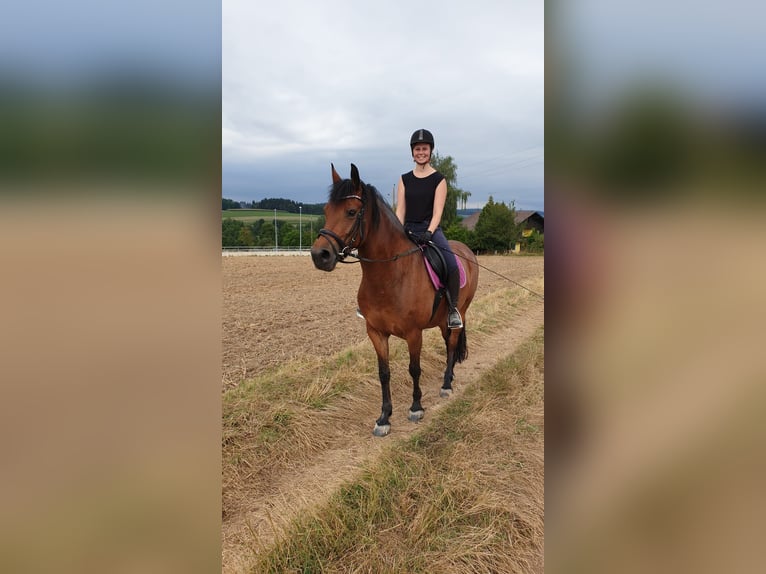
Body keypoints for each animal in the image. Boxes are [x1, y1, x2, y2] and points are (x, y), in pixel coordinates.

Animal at [310, 163, 479, 436]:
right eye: (326, 210)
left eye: (351, 212)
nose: (319, 255)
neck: (389, 276)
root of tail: (466, 251)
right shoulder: (376, 332)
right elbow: (384, 373)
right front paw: (384, 418)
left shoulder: (414, 333)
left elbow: (414, 368)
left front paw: (416, 408)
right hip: (442, 319)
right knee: (448, 344)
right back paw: (450, 376)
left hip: (460, 312)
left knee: (453, 343)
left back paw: (446, 384)